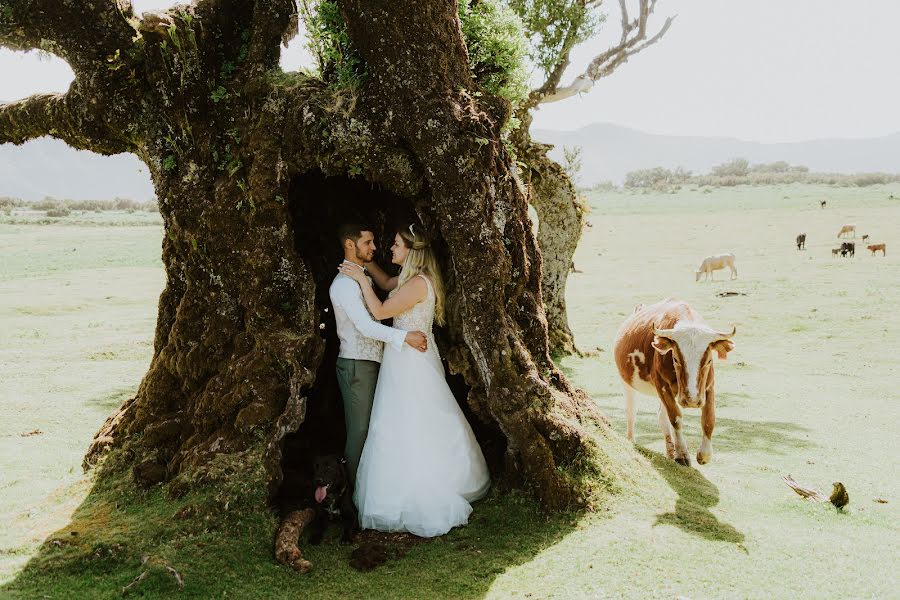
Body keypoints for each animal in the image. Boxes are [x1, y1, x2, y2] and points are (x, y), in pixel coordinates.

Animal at [612, 298, 740, 464]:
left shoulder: (708, 386)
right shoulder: (662, 385)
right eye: (675, 359)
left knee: (661, 417)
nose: (691, 400)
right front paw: (682, 454)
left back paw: (670, 451)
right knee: (631, 412)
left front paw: (704, 454)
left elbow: (709, 419)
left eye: (709, 361)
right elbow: (676, 418)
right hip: (627, 382)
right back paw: (632, 440)